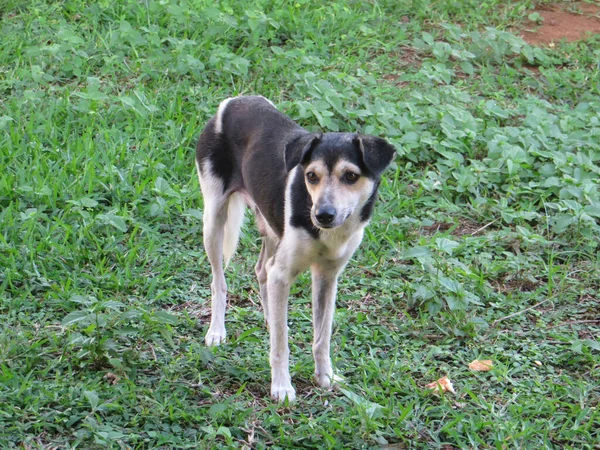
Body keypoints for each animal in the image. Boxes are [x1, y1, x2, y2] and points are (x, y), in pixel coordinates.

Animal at [195, 96, 396, 400]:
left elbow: (322, 337)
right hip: (214, 220)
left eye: (350, 176)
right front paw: (281, 387)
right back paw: (217, 330)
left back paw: (269, 318)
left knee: (261, 270)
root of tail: (233, 101)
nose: (323, 215)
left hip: (270, 227)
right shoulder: (283, 274)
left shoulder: (327, 276)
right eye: (311, 176)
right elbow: (281, 344)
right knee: (219, 281)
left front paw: (325, 376)